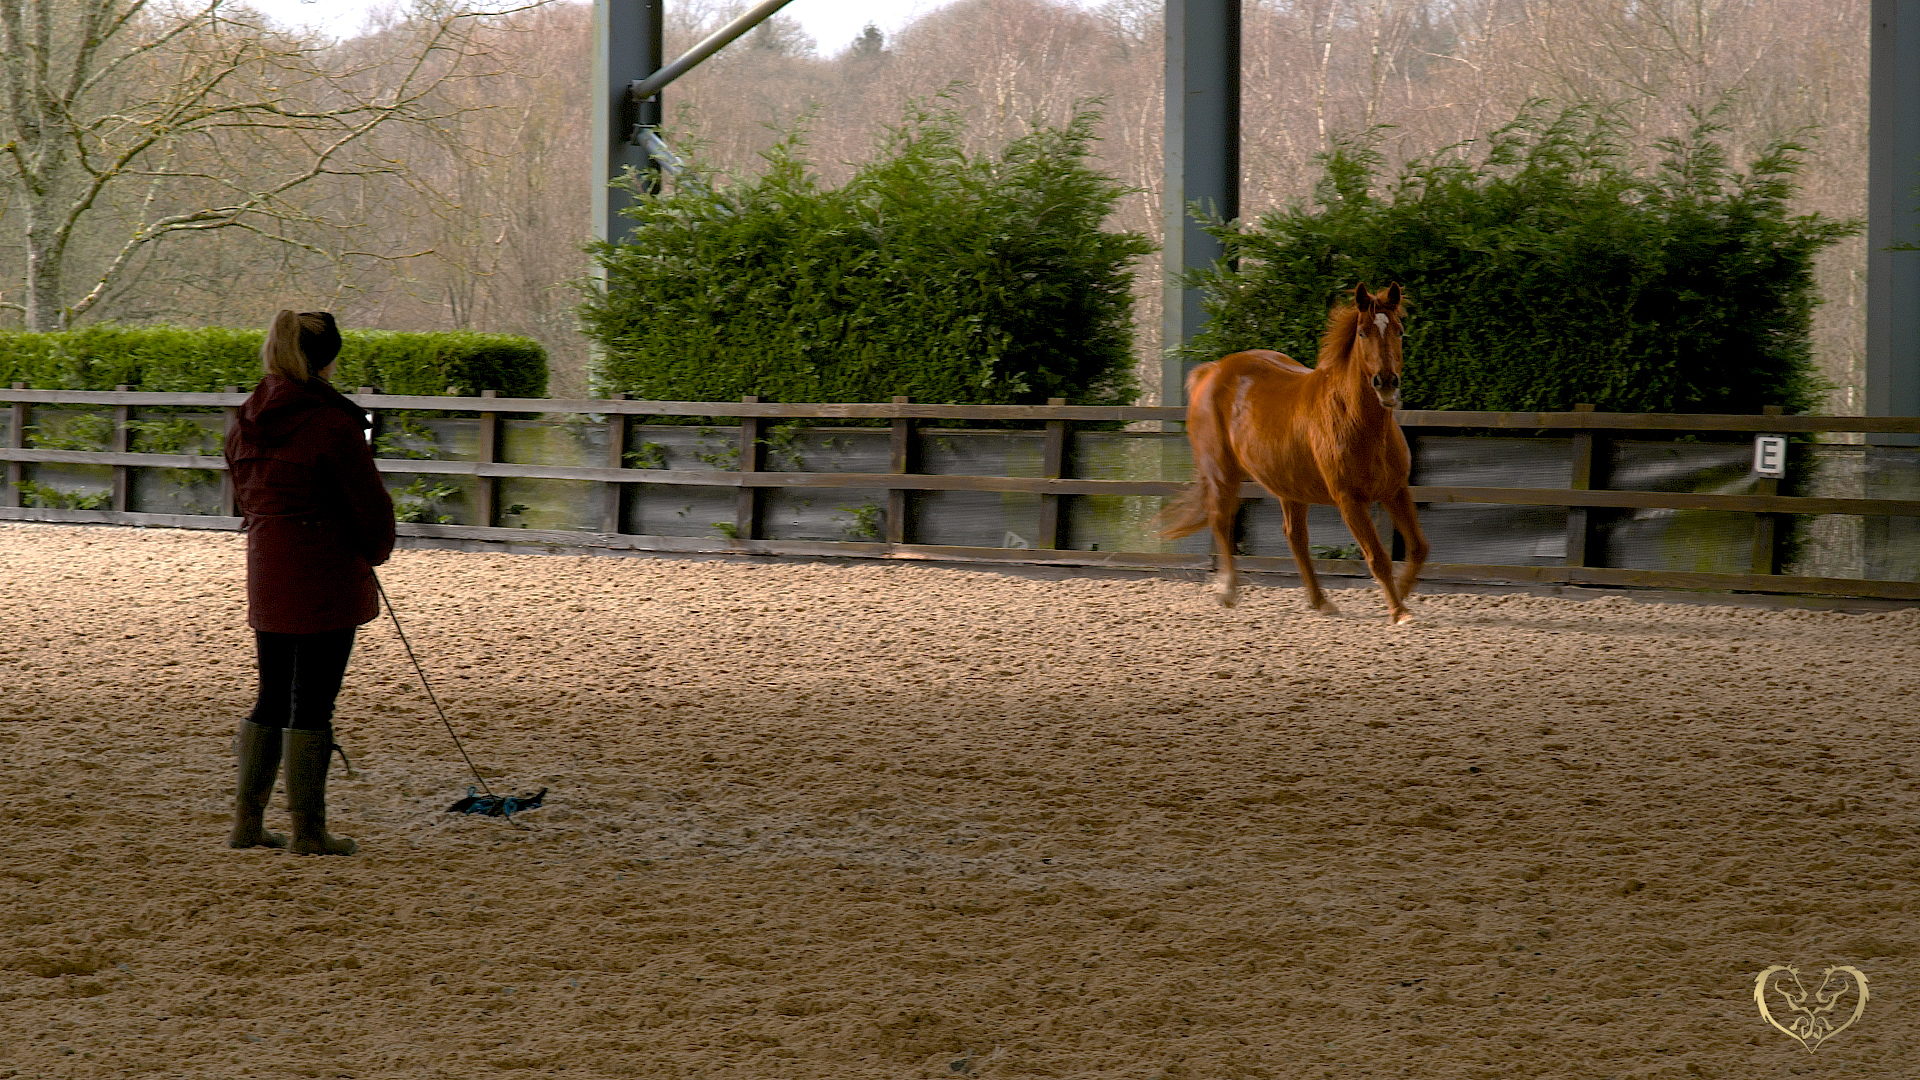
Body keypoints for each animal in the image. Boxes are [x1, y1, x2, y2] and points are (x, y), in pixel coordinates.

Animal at [1160, 281, 1430, 624]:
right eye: (1363, 332)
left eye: (1399, 330)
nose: (1386, 383)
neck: (1354, 418)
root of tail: (1212, 370)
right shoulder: (1350, 501)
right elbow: (1378, 557)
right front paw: (1399, 611)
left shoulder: (1395, 490)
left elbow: (1418, 547)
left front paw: (1403, 596)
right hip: (1222, 472)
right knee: (1221, 520)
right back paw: (1229, 591)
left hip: (1289, 486)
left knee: (1295, 538)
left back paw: (1320, 601)